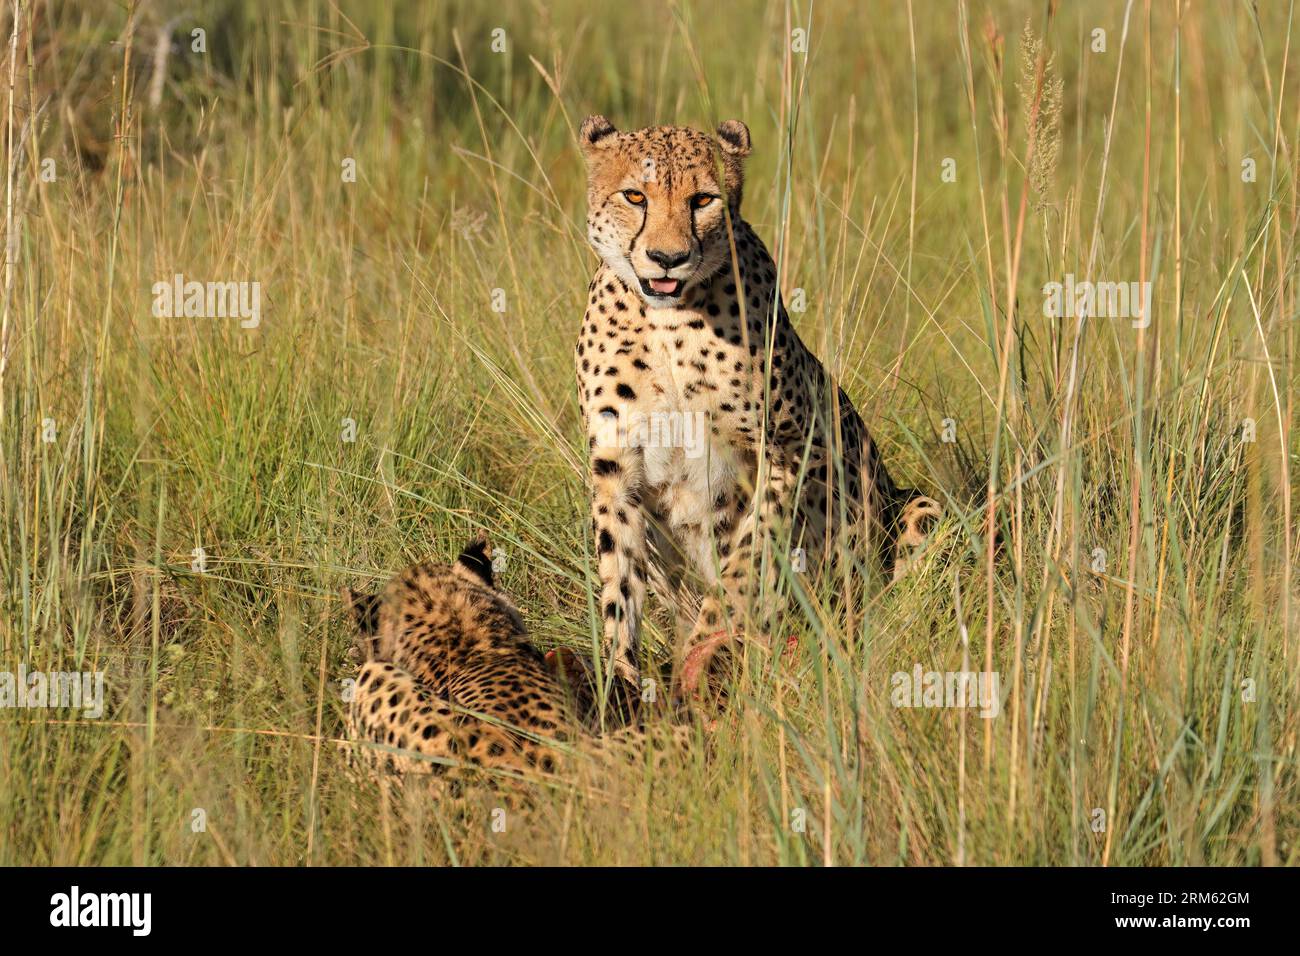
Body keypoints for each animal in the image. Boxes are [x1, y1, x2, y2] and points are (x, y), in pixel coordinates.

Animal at [577, 115, 935, 691]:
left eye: (703, 199)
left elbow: (748, 557)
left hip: (915, 509)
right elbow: (618, 579)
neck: (665, 323)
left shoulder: (792, 447)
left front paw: (707, 644)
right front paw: (620, 679)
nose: (668, 259)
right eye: (635, 196)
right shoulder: (616, 468)